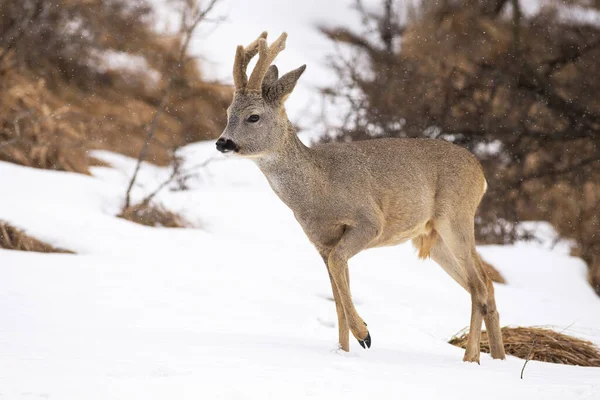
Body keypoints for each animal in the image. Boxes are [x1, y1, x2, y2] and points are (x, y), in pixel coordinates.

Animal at [217, 31, 506, 362]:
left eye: (253, 117)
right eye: (228, 113)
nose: (222, 142)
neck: (319, 189)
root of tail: (481, 173)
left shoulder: (369, 221)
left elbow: (340, 273)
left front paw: (364, 334)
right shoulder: (322, 243)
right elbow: (338, 296)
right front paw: (344, 349)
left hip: (456, 219)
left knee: (480, 285)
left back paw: (472, 358)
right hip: (432, 239)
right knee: (482, 285)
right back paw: (497, 358)